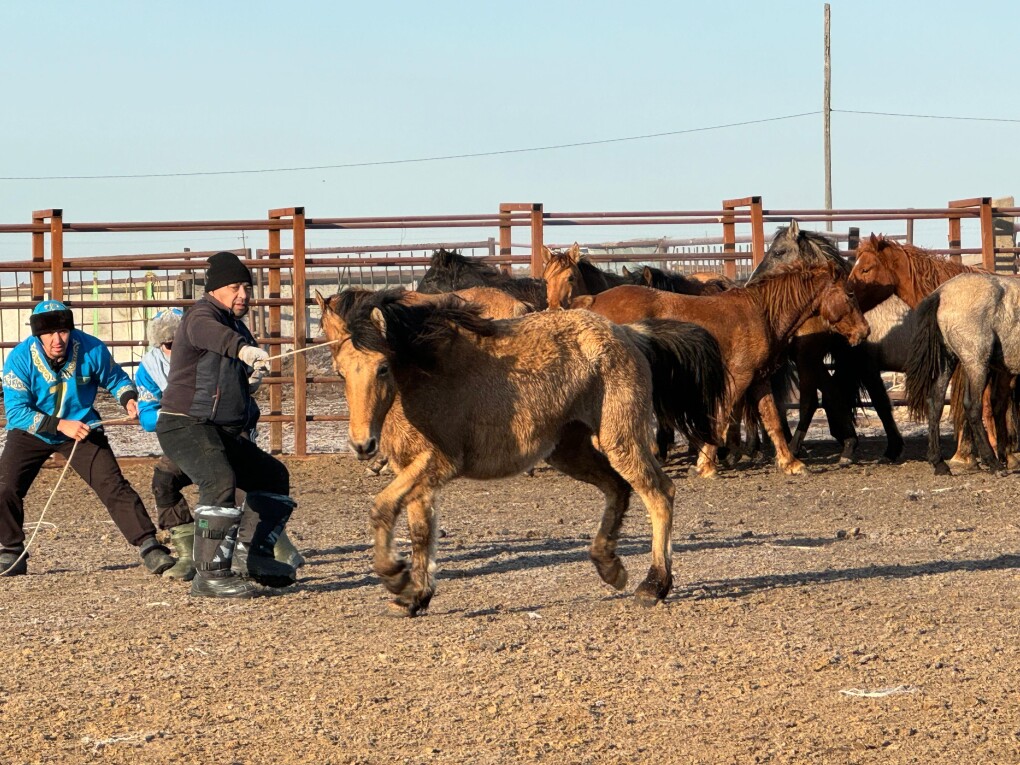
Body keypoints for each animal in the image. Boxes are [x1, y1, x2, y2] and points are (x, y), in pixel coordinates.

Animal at [316, 289, 726, 616]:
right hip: (568, 450)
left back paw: (653, 585)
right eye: (340, 372)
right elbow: (421, 532)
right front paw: (414, 596)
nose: (362, 445)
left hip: (620, 438)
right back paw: (610, 566)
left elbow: (383, 507)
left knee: (659, 493)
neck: (423, 375)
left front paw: (395, 576)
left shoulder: (439, 461)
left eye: (382, 368)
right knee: (617, 489)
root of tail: (629, 333)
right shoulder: (416, 473)